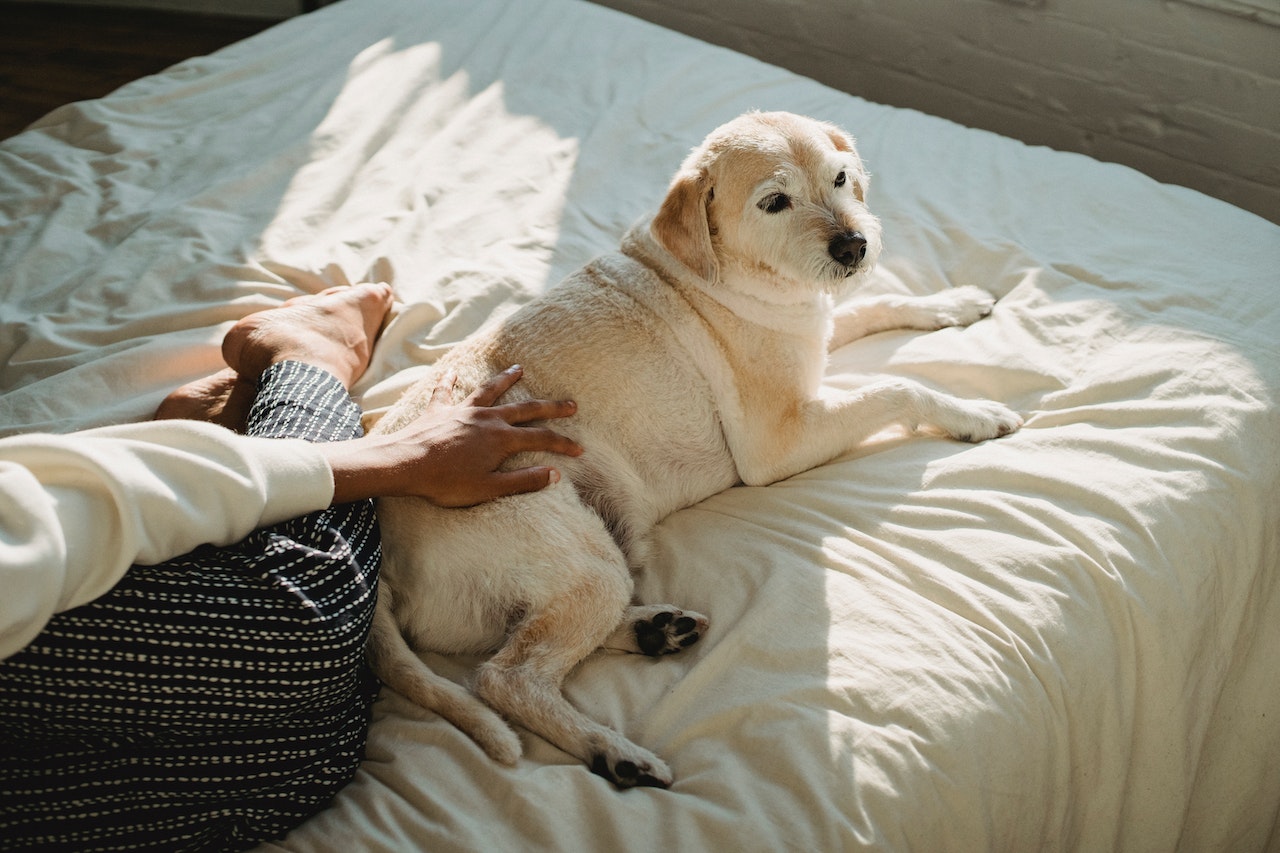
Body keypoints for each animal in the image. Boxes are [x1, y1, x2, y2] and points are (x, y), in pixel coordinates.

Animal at [366, 109, 1024, 788]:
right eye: (775, 202)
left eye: (840, 178)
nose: (853, 246)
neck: (727, 272)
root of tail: (381, 548)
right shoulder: (778, 443)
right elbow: (899, 388)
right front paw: (974, 413)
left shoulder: (816, 330)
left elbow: (882, 303)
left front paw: (951, 302)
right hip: (580, 556)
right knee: (505, 676)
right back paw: (616, 752)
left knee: (522, 641)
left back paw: (655, 632)